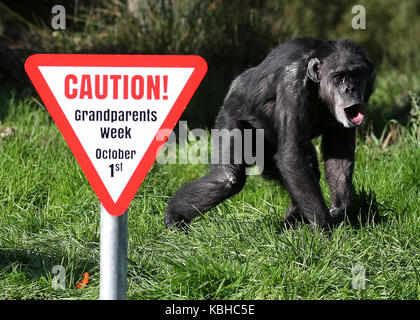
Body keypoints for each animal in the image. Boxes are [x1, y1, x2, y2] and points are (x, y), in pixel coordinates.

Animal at [163, 37, 374, 230]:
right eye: (339, 77)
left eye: (356, 75)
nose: (350, 88)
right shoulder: (292, 87)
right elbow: (291, 156)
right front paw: (325, 229)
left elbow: (338, 153)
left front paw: (338, 210)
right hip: (230, 118)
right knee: (227, 179)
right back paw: (175, 216)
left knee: (306, 170)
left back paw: (291, 222)